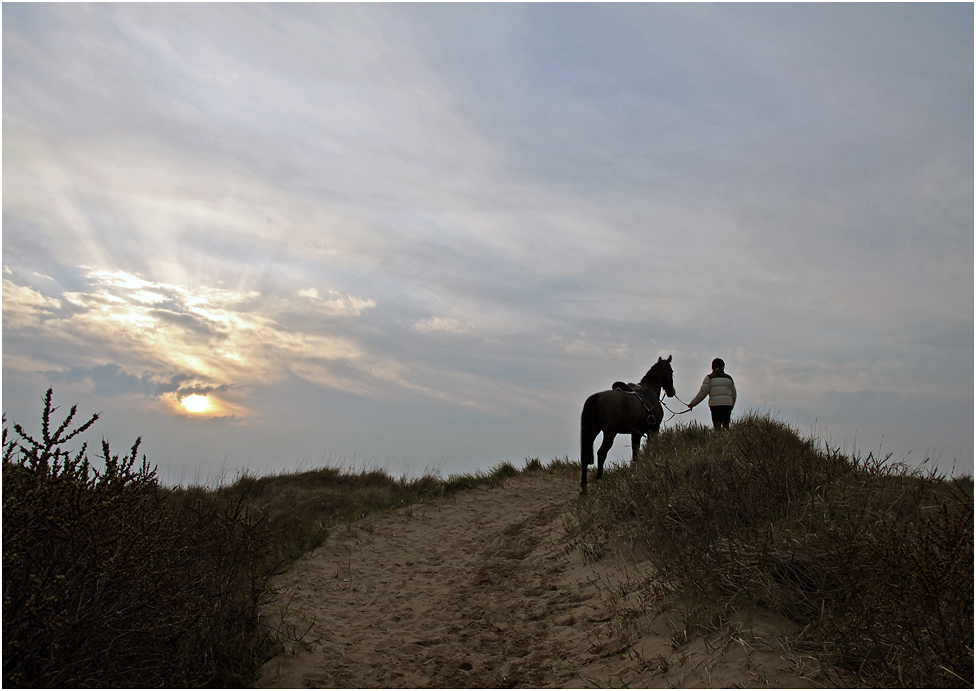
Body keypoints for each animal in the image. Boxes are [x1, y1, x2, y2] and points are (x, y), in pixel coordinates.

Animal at [580, 356, 672, 492]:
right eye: (671, 372)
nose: (672, 391)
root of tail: (596, 397)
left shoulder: (636, 433)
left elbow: (635, 453)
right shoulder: (653, 429)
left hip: (592, 431)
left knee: (585, 456)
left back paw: (584, 485)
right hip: (609, 433)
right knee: (601, 453)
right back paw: (599, 478)